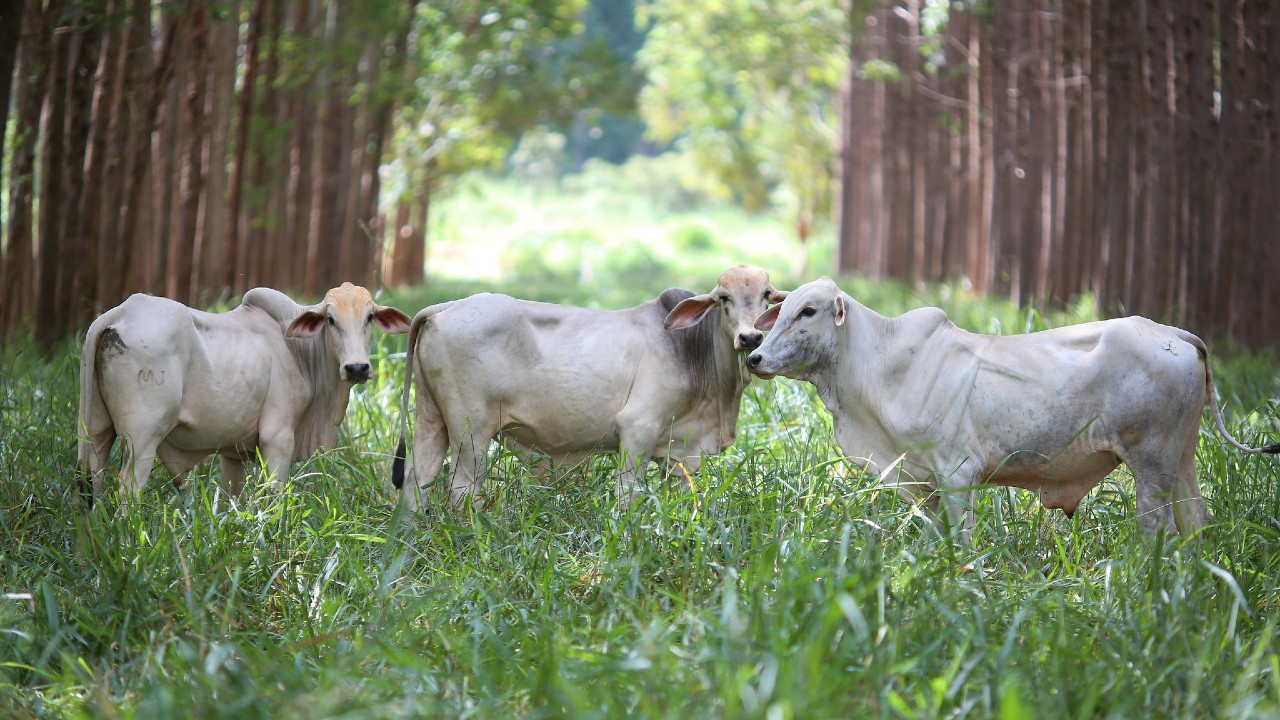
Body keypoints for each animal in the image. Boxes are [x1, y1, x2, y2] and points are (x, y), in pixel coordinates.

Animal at [78, 281, 409, 499]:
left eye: (369, 317)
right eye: (330, 319)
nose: (357, 368)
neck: (297, 350)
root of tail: (121, 313)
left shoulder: (233, 453)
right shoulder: (278, 438)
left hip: (96, 431)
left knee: (90, 486)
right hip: (142, 439)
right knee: (127, 492)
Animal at [391, 265, 788, 509]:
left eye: (767, 294)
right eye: (723, 298)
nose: (750, 337)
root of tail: (445, 308)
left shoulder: (677, 450)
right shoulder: (638, 428)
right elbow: (628, 494)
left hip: (431, 418)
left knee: (416, 481)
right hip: (471, 431)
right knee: (462, 489)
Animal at [747, 278, 1280, 535]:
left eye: (808, 311)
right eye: (782, 310)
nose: (753, 356)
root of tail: (1173, 332)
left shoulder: (958, 473)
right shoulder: (922, 482)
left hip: (1150, 464)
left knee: (1160, 529)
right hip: (1181, 457)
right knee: (1196, 523)